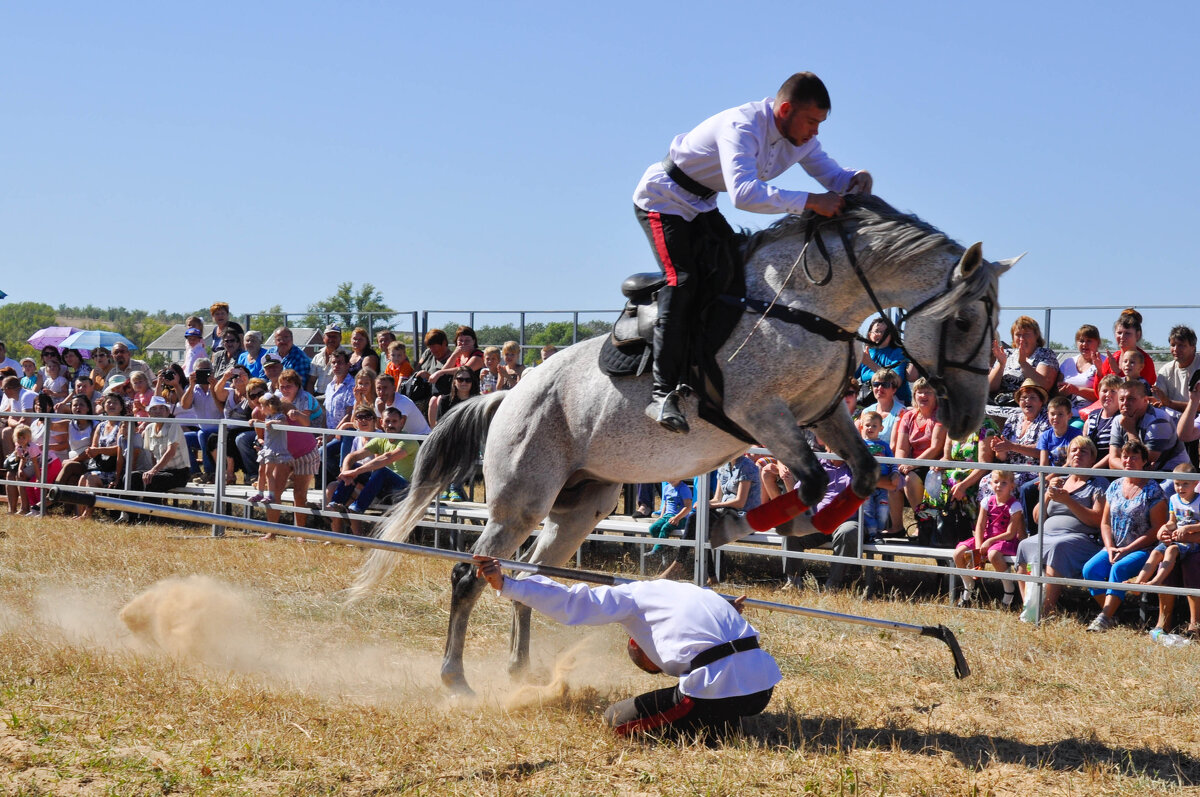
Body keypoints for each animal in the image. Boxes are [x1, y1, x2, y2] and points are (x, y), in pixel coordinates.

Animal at [350, 195, 1012, 696]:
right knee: (470, 573)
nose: (969, 417)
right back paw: (455, 678)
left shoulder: (823, 416)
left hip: (582, 505)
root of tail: (512, 392)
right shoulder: (763, 416)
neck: (803, 306)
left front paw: (751, 527)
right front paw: (739, 527)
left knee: (527, 577)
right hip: (522, 501)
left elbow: (863, 474)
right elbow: (816, 483)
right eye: (962, 321)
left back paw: (522, 668)